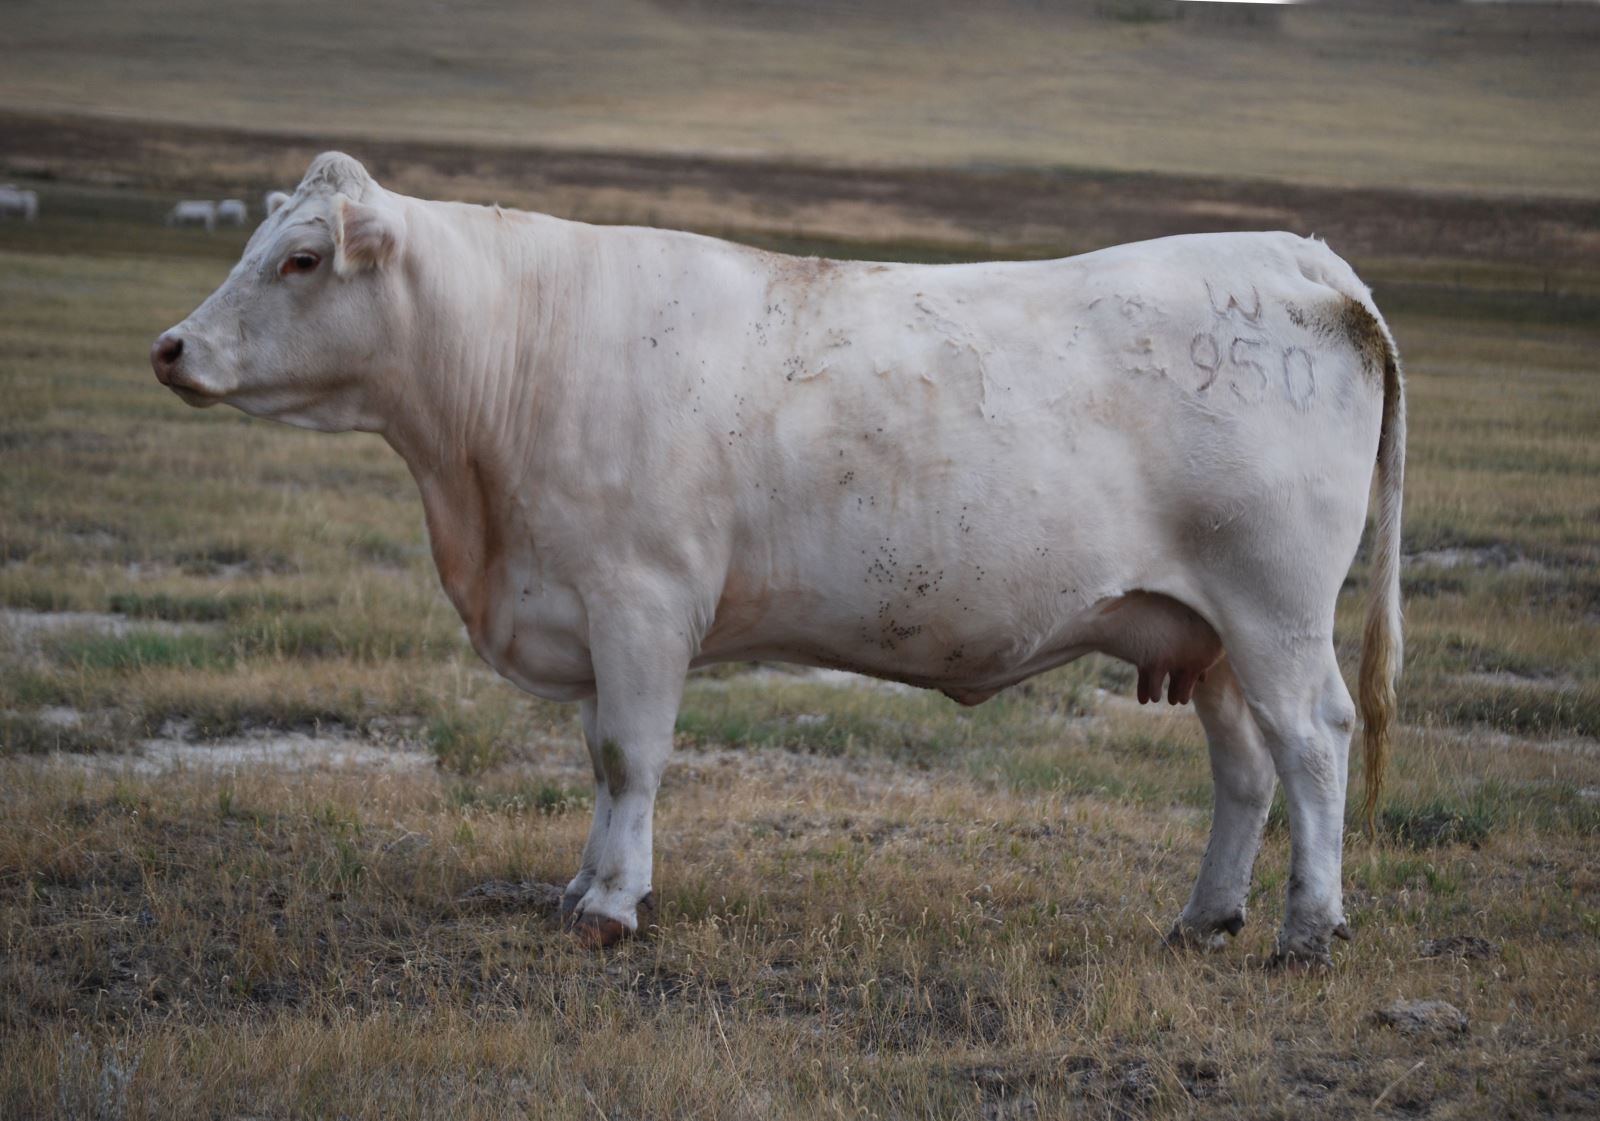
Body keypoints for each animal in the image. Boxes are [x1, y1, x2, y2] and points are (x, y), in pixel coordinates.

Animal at [147, 152, 1401, 965]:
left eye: (302, 258)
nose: (171, 347)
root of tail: (1299, 257)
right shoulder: (588, 607)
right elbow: (599, 757)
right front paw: (580, 881)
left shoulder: (642, 597)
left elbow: (630, 756)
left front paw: (611, 904)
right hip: (1206, 630)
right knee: (1243, 766)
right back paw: (1205, 917)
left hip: (1275, 608)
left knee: (1312, 741)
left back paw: (1307, 927)